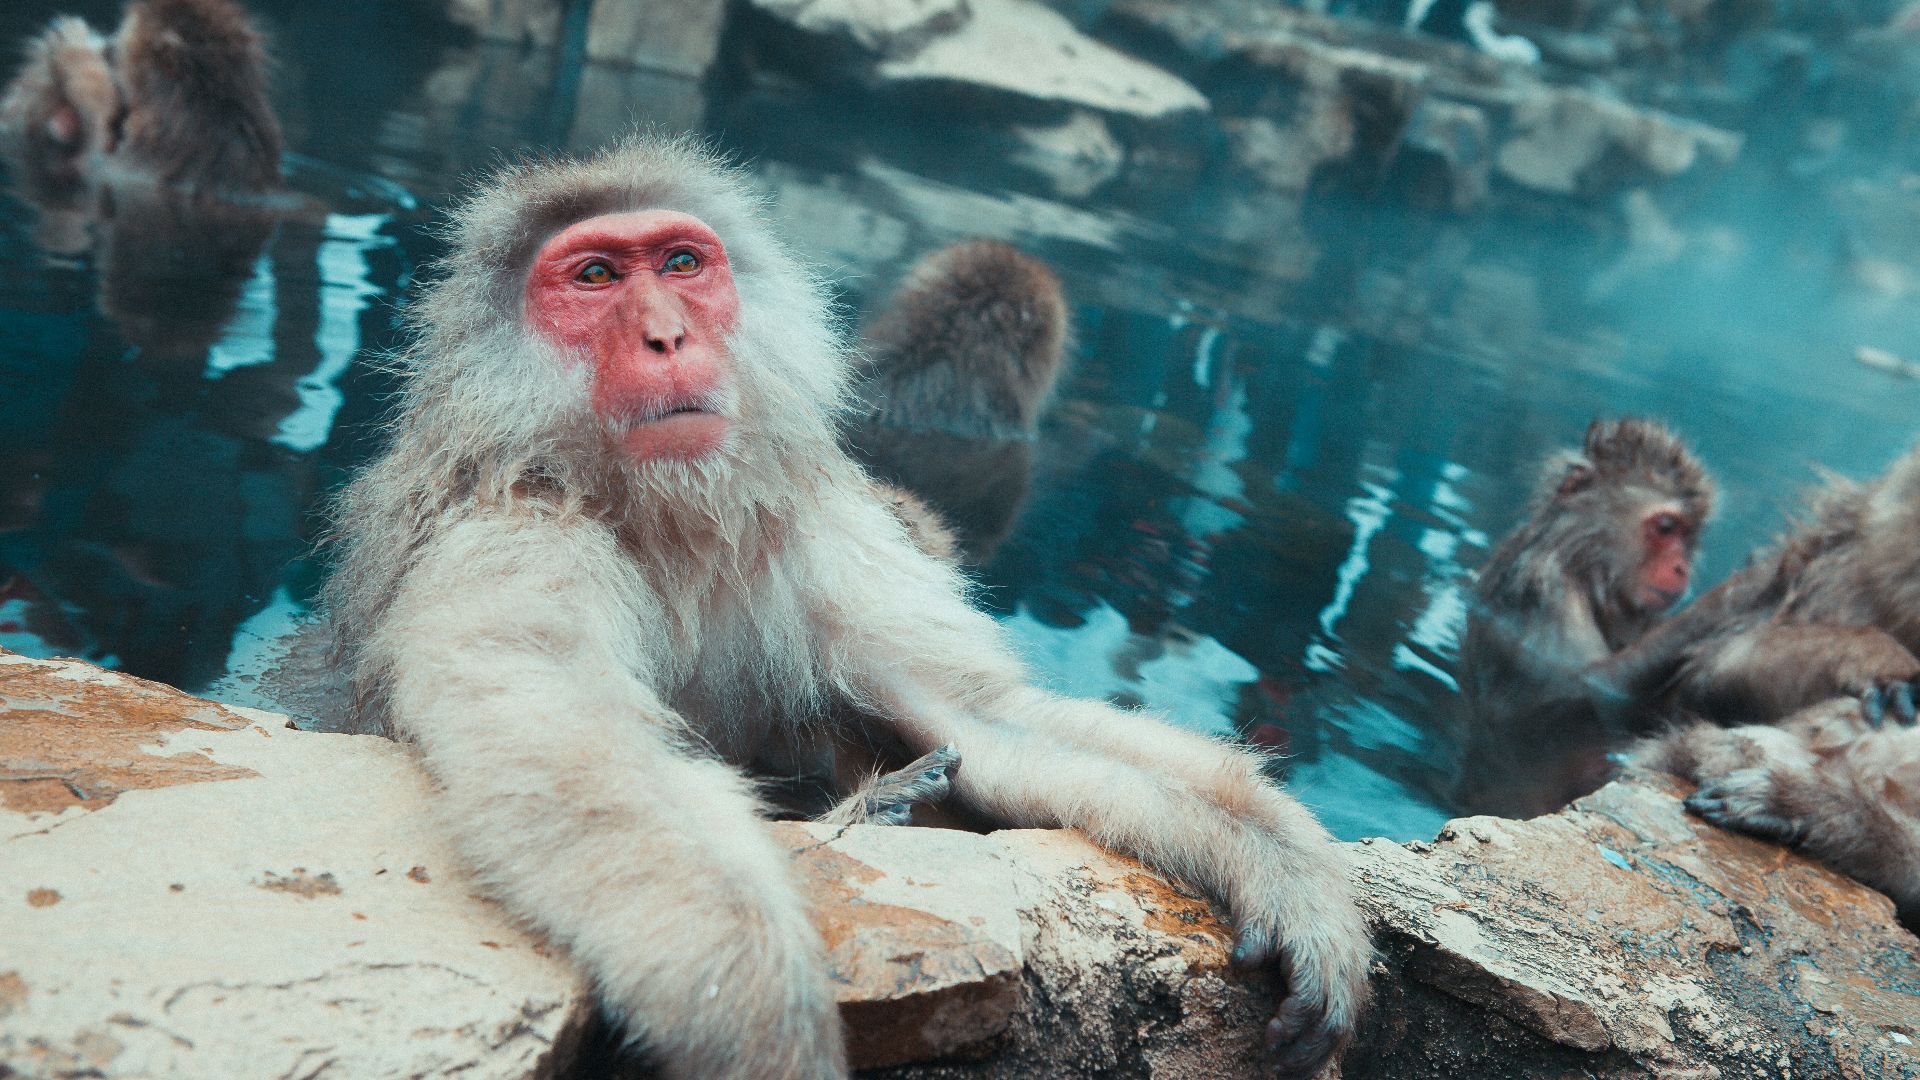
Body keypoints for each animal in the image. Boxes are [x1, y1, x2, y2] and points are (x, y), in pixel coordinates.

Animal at [1452, 417, 1715, 816]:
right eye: (1667, 527)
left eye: (1690, 536)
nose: (1682, 568)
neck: (1585, 564)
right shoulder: (1548, 594)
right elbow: (1580, 690)